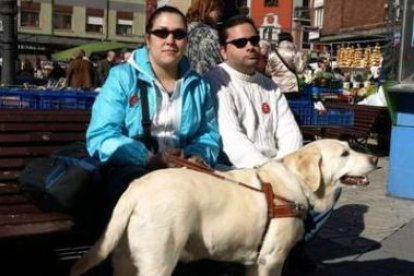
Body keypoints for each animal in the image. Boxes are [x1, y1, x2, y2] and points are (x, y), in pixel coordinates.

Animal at [70, 140, 378, 276]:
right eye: (345, 153)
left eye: (351, 148)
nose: (375, 158)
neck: (295, 183)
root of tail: (136, 189)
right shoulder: (272, 260)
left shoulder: (256, 262)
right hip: (159, 260)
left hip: (125, 260)